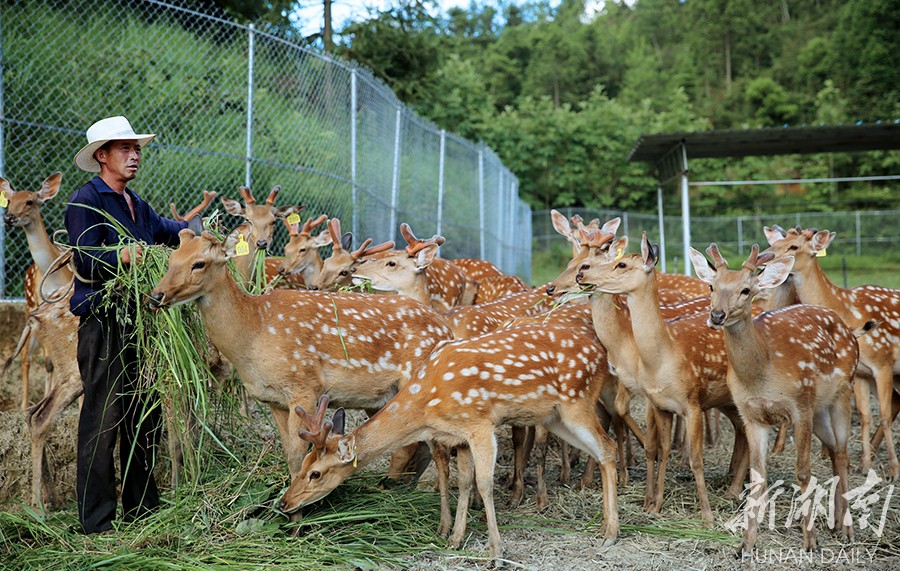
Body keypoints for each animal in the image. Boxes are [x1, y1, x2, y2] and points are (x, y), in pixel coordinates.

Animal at [148, 229, 454, 489]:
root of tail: (447, 330)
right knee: (419, 443)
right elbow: (290, 454)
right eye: (172, 259)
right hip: (379, 397)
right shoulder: (272, 399)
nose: (155, 296)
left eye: (199, 263)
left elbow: (298, 454)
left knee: (415, 444)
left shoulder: (304, 386)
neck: (254, 331)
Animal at [279, 320, 620, 561]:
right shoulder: (458, 437)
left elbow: (484, 483)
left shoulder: (480, 423)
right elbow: (465, 482)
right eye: (302, 464)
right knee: (602, 449)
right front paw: (455, 539)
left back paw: (611, 533)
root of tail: (604, 357)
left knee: (608, 446)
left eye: (315, 473)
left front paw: (496, 551)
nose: (284, 502)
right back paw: (603, 526)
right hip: (555, 417)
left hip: (578, 401)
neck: (427, 406)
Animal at [568, 231, 750, 521]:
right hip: (725, 399)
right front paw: (653, 504)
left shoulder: (690, 402)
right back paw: (734, 487)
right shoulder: (656, 401)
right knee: (743, 429)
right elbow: (658, 448)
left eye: (621, 264)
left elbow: (690, 457)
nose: (581, 276)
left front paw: (706, 515)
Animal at [690, 244, 859, 555]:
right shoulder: (751, 415)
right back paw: (834, 522)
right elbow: (758, 476)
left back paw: (847, 530)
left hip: (842, 392)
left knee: (843, 453)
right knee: (832, 450)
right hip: (819, 411)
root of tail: (849, 330)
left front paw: (810, 541)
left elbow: (803, 472)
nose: (717, 315)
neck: (762, 375)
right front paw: (746, 543)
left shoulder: (800, 406)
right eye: (711, 286)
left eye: (746, 290)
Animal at [764, 225, 900, 479]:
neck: (846, 309)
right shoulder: (862, 372)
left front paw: (894, 470)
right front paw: (864, 464)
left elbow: (884, 416)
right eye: (775, 243)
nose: (763, 257)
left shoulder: (883, 361)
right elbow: (865, 415)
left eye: (794, 246)